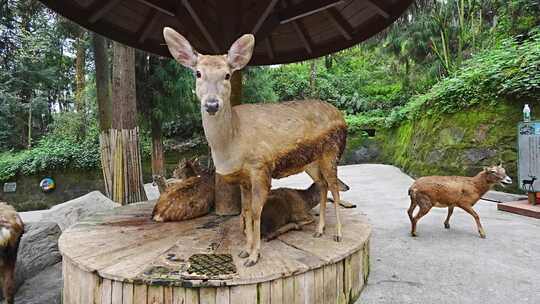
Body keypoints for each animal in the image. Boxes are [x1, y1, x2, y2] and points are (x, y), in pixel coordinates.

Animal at [162, 27, 348, 266]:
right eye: (198, 73)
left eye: (227, 75)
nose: (212, 104)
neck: (231, 145)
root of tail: (342, 117)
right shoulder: (243, 178)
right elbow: (247, 212)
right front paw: (244, 251)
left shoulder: (260, 167)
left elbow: (257, 212)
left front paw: (253, 256)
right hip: (311, 162)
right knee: (323, 185)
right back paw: (319, 230)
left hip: (332, 151)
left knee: (334, 186)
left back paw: (338, 234)